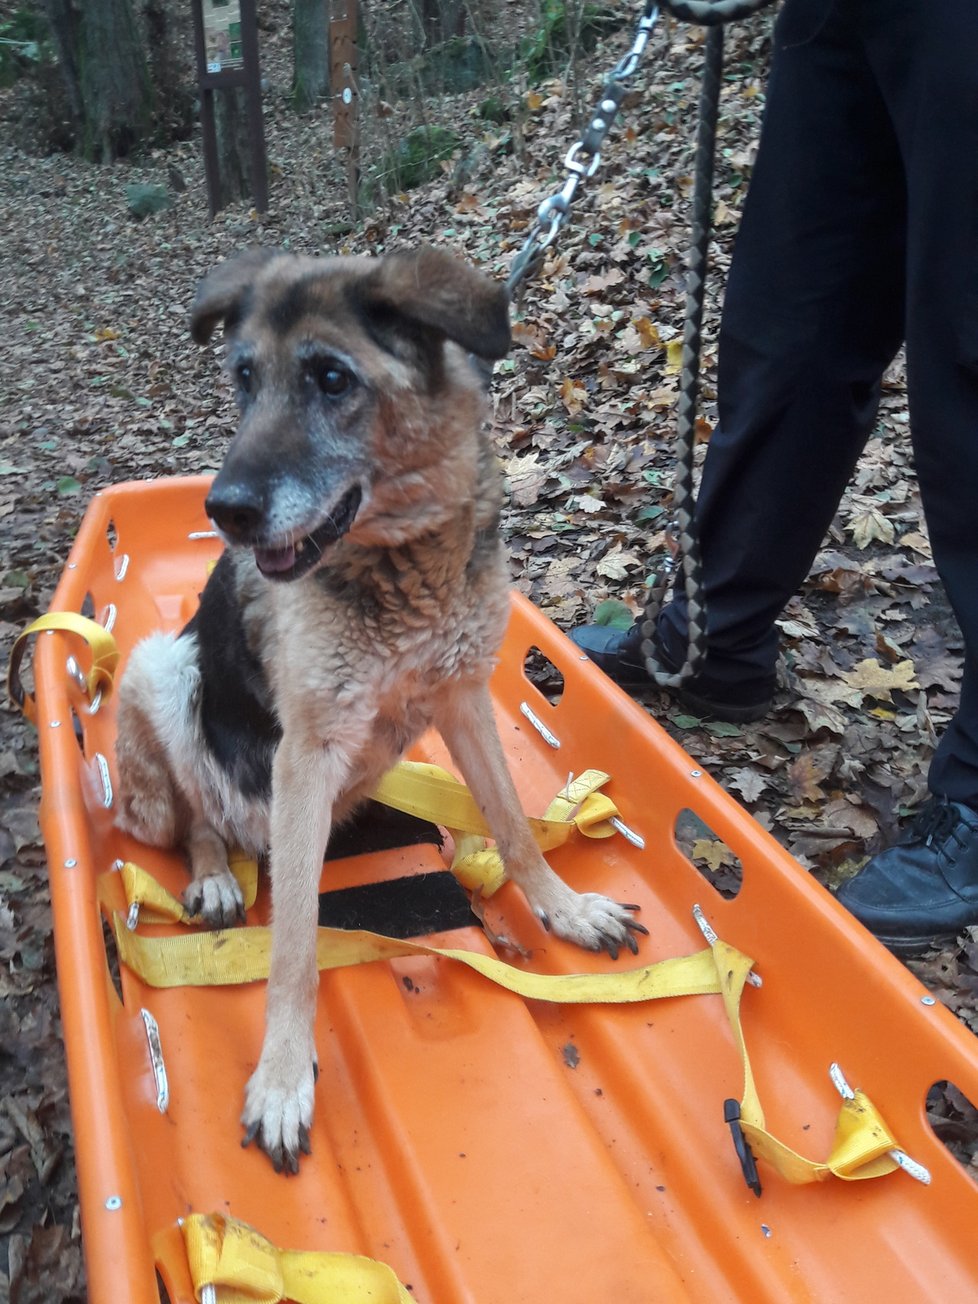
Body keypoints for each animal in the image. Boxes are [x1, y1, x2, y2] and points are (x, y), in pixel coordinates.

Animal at [114, 246, 646, 1173]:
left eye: (331, 378)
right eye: (243, 379)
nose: (225, 512)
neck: (405, 556)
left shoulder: (462, 698)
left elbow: (512, 824)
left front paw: (564, 907)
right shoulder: (305, 751)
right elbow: (294, 945)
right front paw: (283, 1077)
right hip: (162, 668)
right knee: (197, 815)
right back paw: (214, 872)